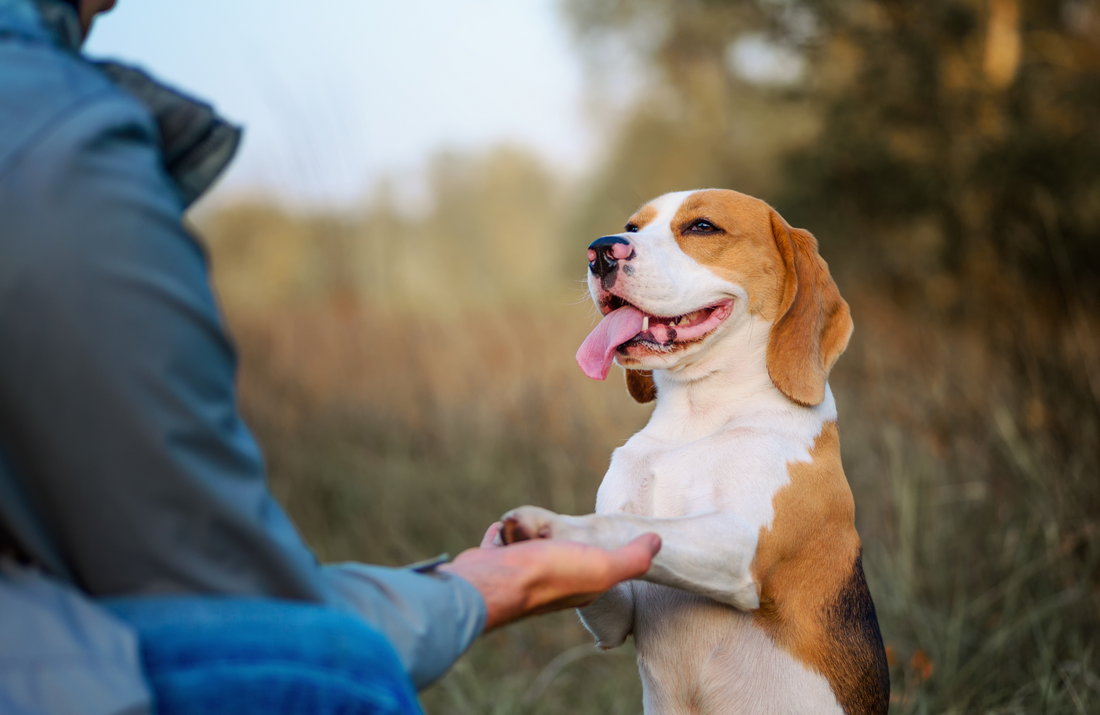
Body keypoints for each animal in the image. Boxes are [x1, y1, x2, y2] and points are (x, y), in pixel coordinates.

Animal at [503, 189, 888, 712]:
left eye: (702, 227)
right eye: (633, 226)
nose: (600, 251)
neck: (697, 418)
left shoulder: (737, 544)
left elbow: (626, 525)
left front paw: (552, 527)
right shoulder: (618, 617)